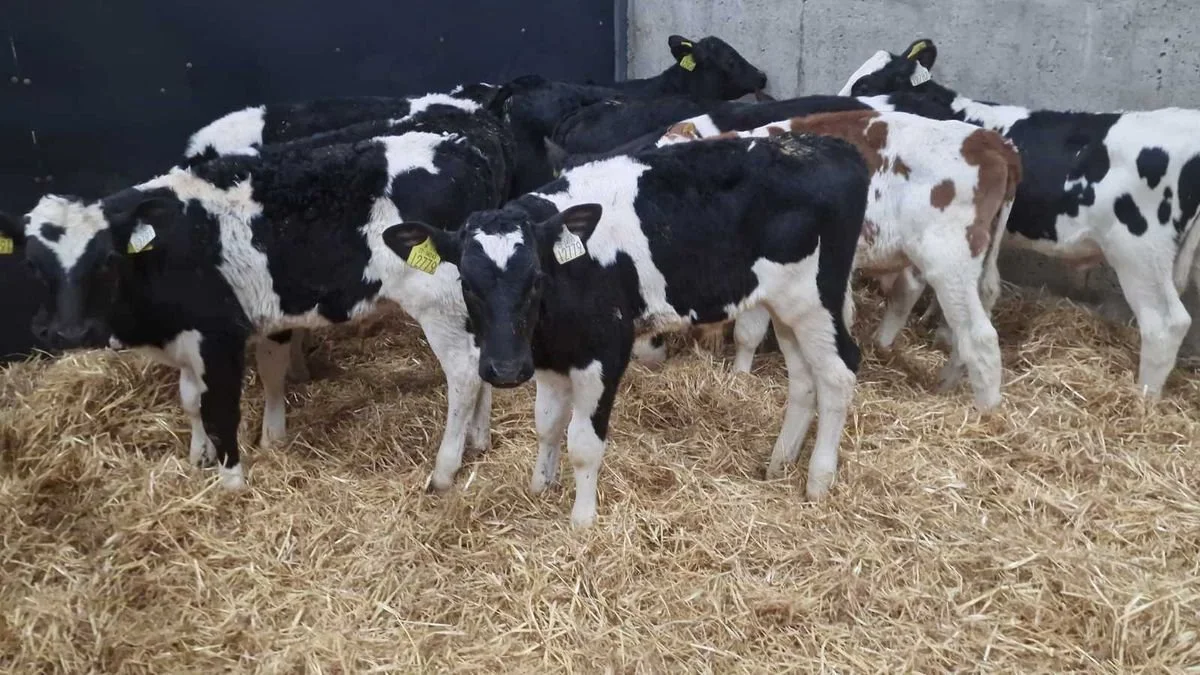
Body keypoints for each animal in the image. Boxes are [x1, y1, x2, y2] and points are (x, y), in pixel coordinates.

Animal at [0, 115, 514, 492]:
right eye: (33, 265)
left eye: (106, 260)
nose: (69, 332)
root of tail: (464, 142)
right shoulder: (189, 337)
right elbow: (191, 399)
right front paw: (198, 456)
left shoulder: (219, 335)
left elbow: (220, 408)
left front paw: (232, 484)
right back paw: (479, 440)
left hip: (438, 301)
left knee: (463, 375)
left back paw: (444, 471)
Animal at [379, 131, 870, 527]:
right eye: (466, 282)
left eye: (536, 278)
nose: (504, 370)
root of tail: (832, 147)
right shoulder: (549, 358)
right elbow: (546, 425)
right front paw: (540, 488)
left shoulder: (605, 352)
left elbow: (582, 442)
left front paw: (582, 520)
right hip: (786, 308)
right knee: (805, 379)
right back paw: (779, 463)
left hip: (815, 299)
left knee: (838, 374)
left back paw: (818, 480)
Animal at [657, 111, 1022, 409]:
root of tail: (993, 142)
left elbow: (747, 332)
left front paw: (738, 378)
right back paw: (948, 383)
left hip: (948, 260)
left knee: (979, 335)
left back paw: (986, 413)